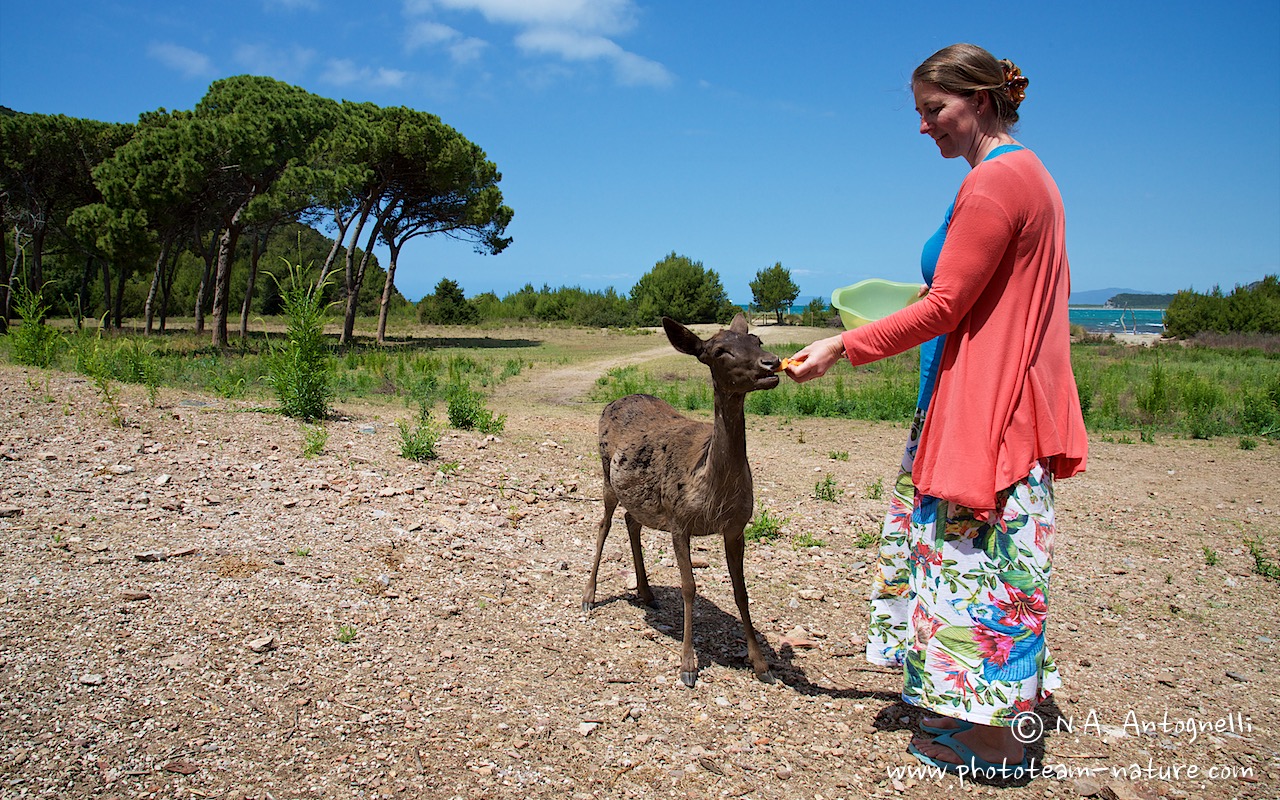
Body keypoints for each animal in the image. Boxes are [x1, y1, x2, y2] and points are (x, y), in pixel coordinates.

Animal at [581, 312, 778, 686]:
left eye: (757, 340)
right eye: (719, 351)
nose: (772, 363)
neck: (712, 488)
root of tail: (615, 400)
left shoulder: (736, 526)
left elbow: (741, 590)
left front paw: (761, 664)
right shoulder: (678, 519)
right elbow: (689, 587)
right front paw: (687, 664)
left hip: (639, 495)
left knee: (631, 521)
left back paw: (646, 593)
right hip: (605, 473)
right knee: (603, 524)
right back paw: (588, 596)